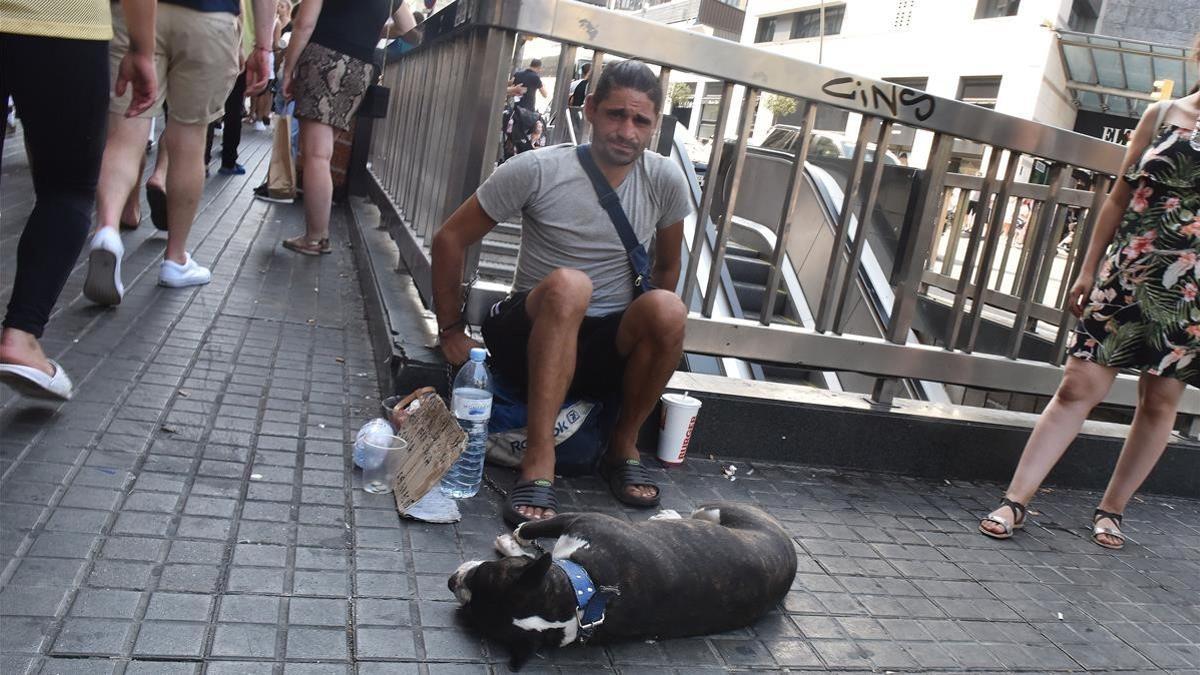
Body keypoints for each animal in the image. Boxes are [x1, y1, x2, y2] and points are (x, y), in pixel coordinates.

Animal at [446, 502, 792, 662]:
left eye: (481, 573)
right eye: (472, 614)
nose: (452, 581)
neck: (584, 597)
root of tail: (791, 549)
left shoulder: (583, 520)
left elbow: (537, 526)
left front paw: (515, 535)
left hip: (721, 509)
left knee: (699, 512)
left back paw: (668, 515)